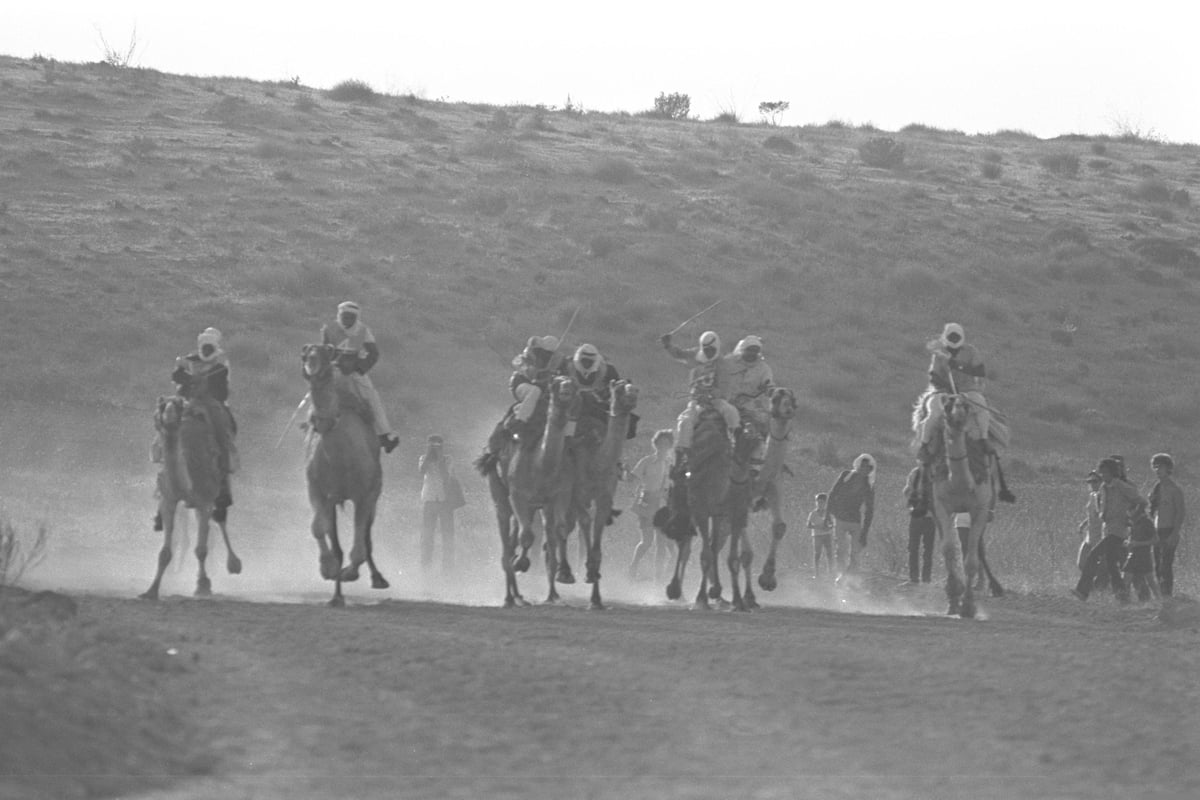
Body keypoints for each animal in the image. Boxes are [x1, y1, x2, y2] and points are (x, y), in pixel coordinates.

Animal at [302, 343, 386, 606]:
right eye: (306, 352)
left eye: (327, 352)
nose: (312, 361)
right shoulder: (318, 491)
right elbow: (318, 528)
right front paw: (327, 569)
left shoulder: (365, 496)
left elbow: (359, 548)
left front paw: (349, 573)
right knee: (336, 538)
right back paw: (337, 593)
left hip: (373, 493)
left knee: (366, 536)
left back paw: (376, 578)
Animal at [475, 376, 578, 606]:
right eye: (556, 383)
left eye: (571, 382)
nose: (567, 387)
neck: (541, 464)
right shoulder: (518, 494)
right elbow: (527, 536)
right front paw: (521, 563)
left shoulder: (560, 494)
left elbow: (560, 530)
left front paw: (564, 576)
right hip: (500, 493)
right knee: (507, 541)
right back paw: (509, 598)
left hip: (536, 507)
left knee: (528, 538)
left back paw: (526, 596)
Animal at [568, 379, 643, 609]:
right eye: (616, 388)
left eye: (635, 388)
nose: (632, 395)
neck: (597, 462)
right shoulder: (578, 494)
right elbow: (584, 522)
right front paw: (588, 574)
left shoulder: (605, 498)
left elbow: (597, 547)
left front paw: (596, 598)